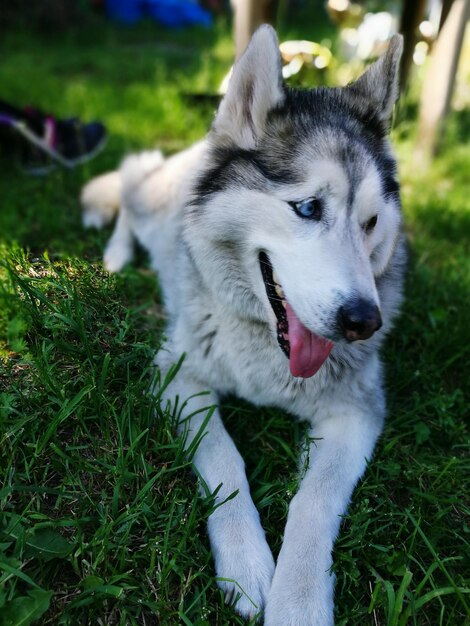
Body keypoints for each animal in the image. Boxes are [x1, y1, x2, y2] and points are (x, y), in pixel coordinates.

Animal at [81, 28, 404, 624]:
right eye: (307, 207)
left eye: (371, 221)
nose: (363, 322)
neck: (268, 359)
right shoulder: (178, 376)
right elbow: (224, 457)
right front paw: (248, 564)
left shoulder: (357, 414)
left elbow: (314, 500)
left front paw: (297, 601)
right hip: (150, 196)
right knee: (129, 198)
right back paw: (116, 254)